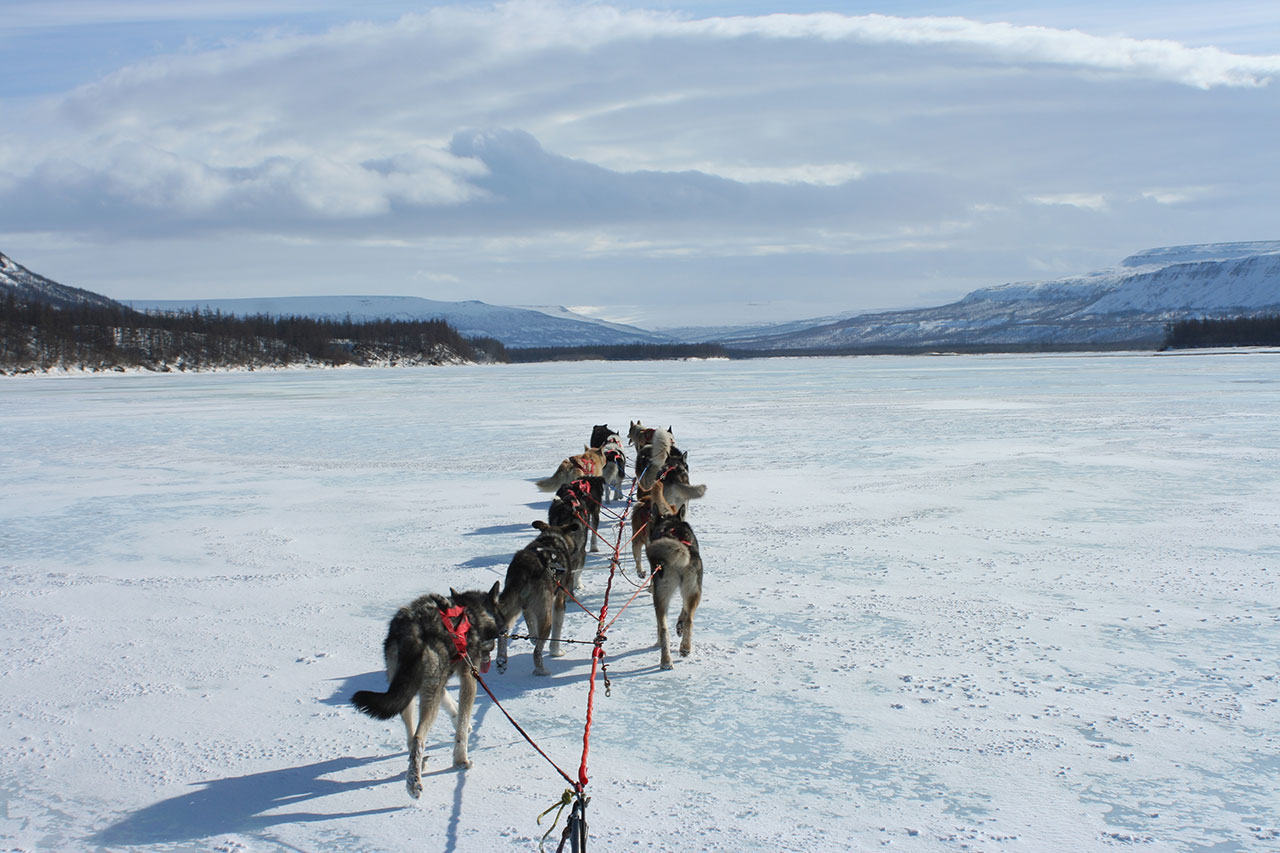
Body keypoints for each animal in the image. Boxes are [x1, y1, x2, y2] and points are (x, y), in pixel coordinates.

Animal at [355, 581, 509, 794]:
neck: (474, 612)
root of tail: (412, 630)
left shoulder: (435, 683)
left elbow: (452, 706)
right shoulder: (469, 678)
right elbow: (462, 726)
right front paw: (461, 760)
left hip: (408, 691)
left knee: (411, 737)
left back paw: (417, 767)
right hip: (426, 693)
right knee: (419, 737)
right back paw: (414, 783)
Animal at [496, 514, 583, 676]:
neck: (552, 538)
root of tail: (525, 568)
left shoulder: (527, 607)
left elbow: (531, 624)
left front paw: (533, 638)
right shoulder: (559, 600)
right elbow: (557, 630)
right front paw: (556, 651)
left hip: (513, 606)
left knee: (502, 632)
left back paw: (501, 660)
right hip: (545, 615)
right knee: (536, 652)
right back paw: (541, 670)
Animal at [645, 502, 706, 666]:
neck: (670, 523)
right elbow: (684, 611)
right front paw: (680, 624)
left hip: (662, 595)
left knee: (663, 628)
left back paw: (666, 659)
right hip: (693, 590)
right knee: (688, 620)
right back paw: (683, 649)